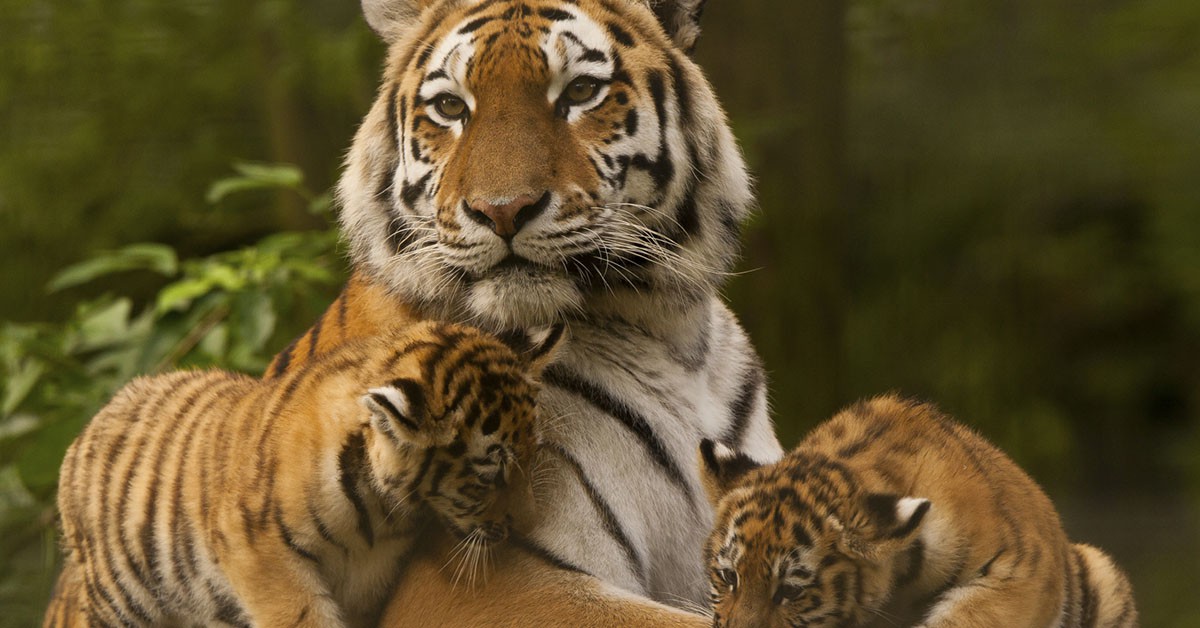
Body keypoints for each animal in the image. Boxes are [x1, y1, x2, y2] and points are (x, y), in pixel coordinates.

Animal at [46, 321, 562, 628]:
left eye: (533, 451)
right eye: (489, 472)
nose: (529, 524)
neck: (379, 513)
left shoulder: (368, 578)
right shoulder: (262, 557)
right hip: (121, 601)